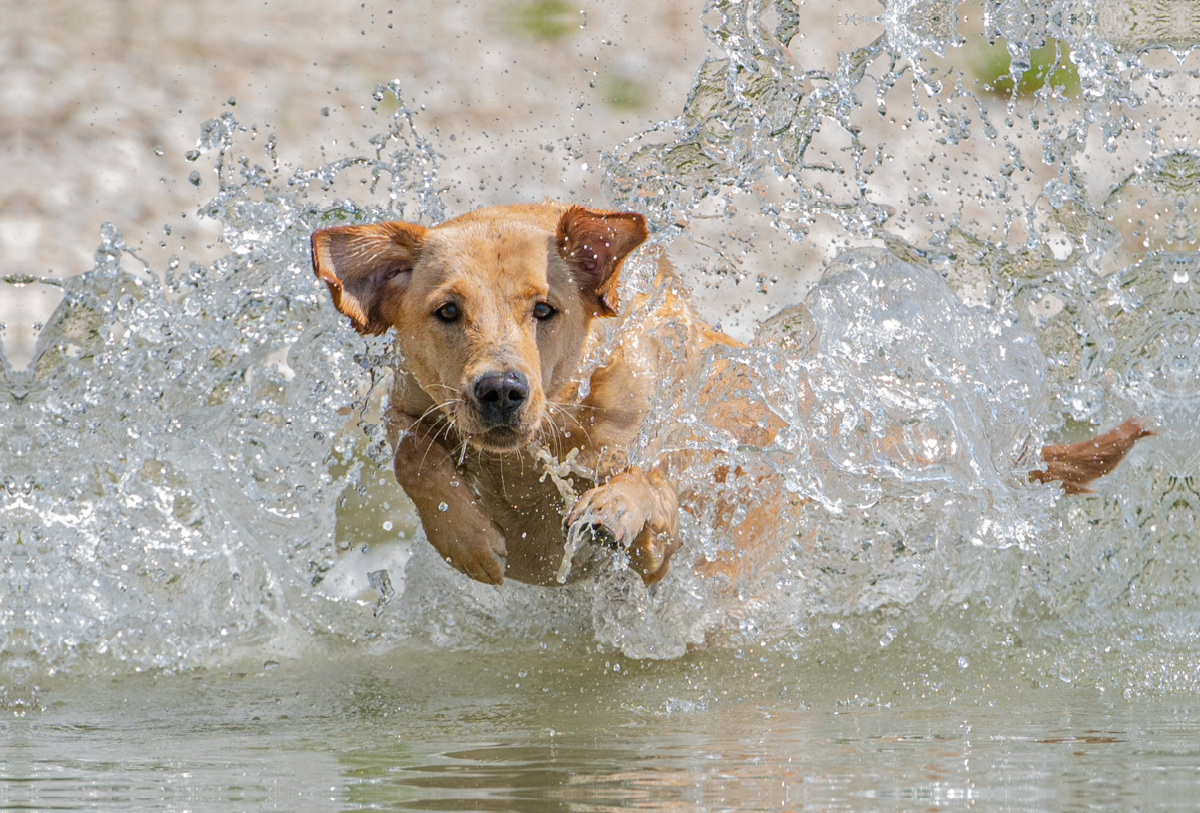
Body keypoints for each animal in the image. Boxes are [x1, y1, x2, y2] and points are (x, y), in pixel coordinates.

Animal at [312, 202, 1152, 585]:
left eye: (543, 310)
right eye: (447, 311)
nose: (500, 390)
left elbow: (655, 483)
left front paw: (617, 506)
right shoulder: (409, 406)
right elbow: (415, 453)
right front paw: (469, 539)